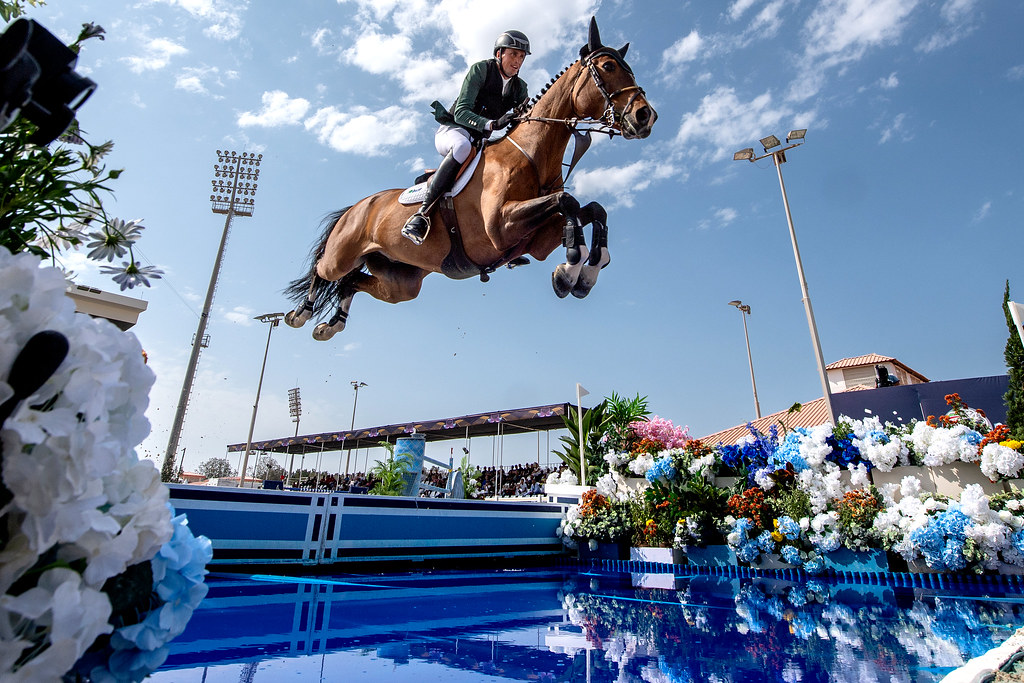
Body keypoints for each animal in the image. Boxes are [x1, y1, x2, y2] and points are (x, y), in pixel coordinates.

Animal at [285, 17, 657, 341]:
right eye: (608, 68)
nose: (646, 116)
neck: (531, 154)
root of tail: (358, 205)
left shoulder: (536, 239)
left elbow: (592, 210)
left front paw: (582, 274)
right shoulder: (499, 227)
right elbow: (569, 202)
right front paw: (569, 271)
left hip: (401, 281)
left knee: (352, 282)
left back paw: (331, 324)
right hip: (343, 254)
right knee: (324, 270)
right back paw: (301, 313)